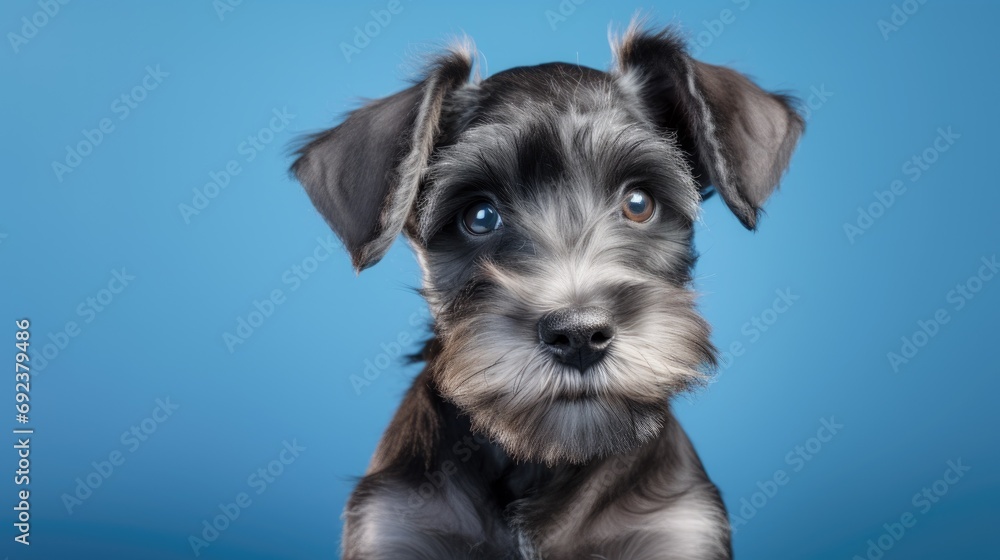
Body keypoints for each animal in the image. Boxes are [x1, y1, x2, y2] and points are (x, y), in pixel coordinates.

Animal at [292, 23, 804, 560]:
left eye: (638, 202)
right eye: (480, 215)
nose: (578, 335)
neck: (543, 462)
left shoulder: (678, 529)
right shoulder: (396, 526)